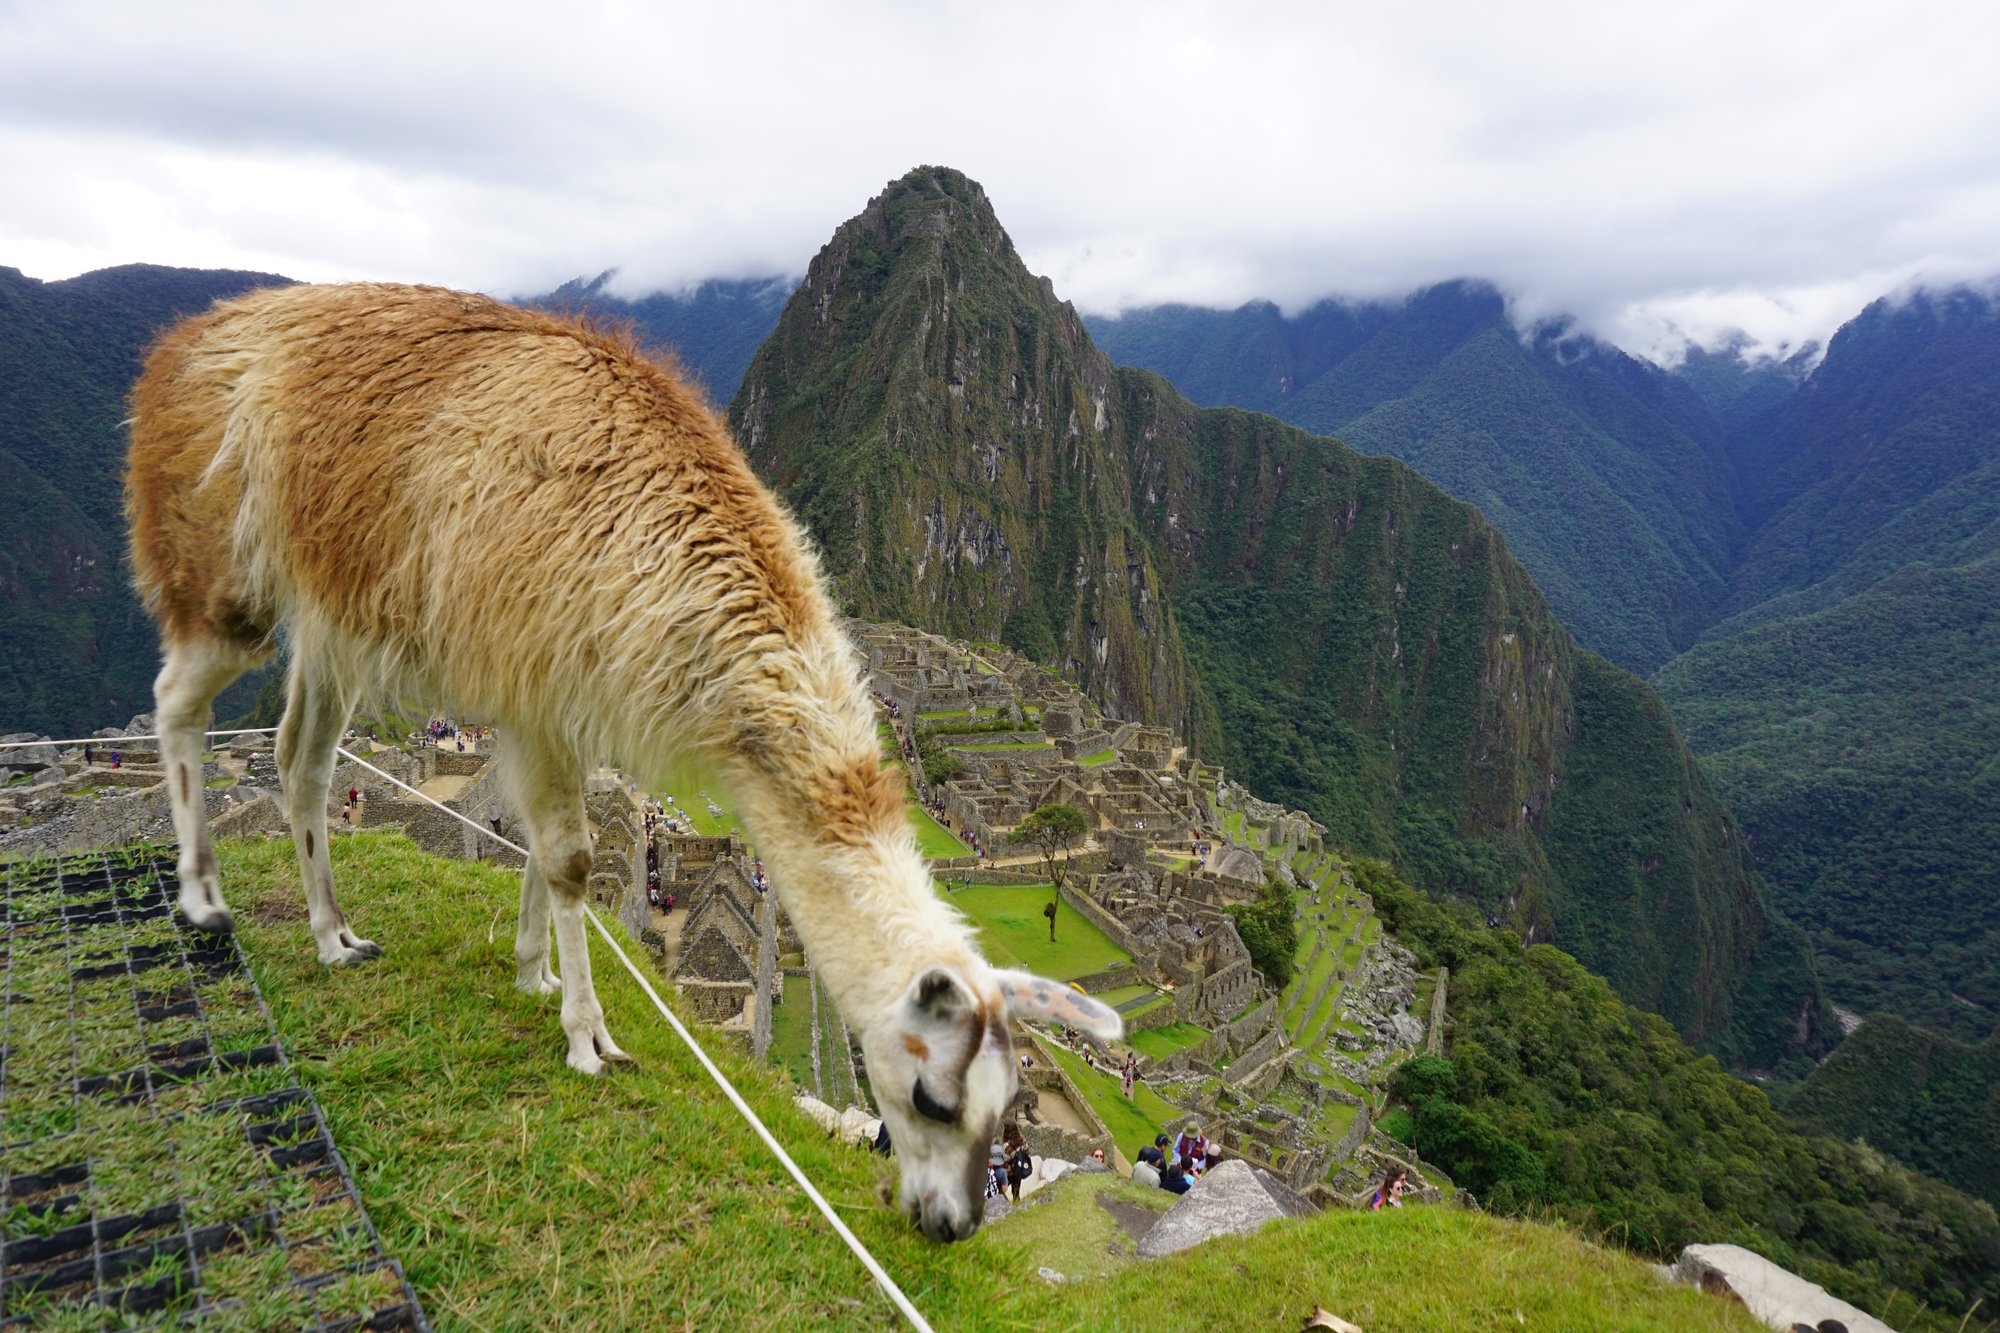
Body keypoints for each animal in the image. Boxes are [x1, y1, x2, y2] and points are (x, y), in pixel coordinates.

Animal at [125, 282, 1119, 1242]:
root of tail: (187, 339)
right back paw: (201, 895)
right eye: (929, 1097)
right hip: (223, 568)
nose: (951, 1225)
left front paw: (533, 971)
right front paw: (588, 1039)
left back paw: (334, 935)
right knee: (176, 703)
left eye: (1004, 1106)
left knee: (301, 762)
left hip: (333, 616)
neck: (662, 546)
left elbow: (545, 848)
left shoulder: (563, 703)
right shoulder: (534, 682)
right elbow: (568, 860)